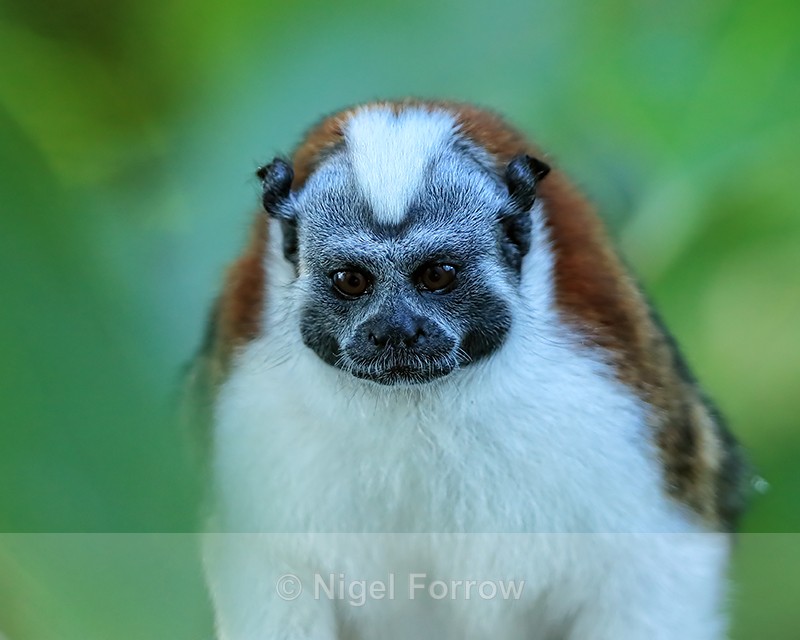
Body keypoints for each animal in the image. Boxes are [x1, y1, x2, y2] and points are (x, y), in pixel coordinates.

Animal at [186, 99, 747, 639]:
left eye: (438, 274)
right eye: (351, 280)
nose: (396, 331)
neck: (418, 408)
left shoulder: (617, 412)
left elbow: (654, 565)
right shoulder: (247, 419)